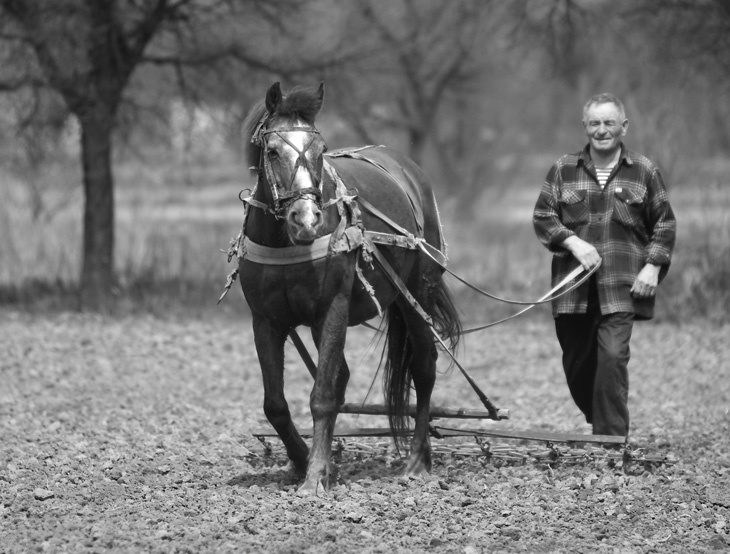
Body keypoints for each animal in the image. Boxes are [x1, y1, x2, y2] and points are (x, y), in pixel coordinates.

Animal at [236, 82, 458, 492]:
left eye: (321, 150)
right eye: (272, 151)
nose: (306, 219)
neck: (286, 242)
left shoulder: (332, 309)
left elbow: (323, 395)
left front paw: (314, 477)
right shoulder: (265, 320)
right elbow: (275, 403)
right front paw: (304, 460)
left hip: (416, 294)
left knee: (424, 368)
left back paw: (417, 461)